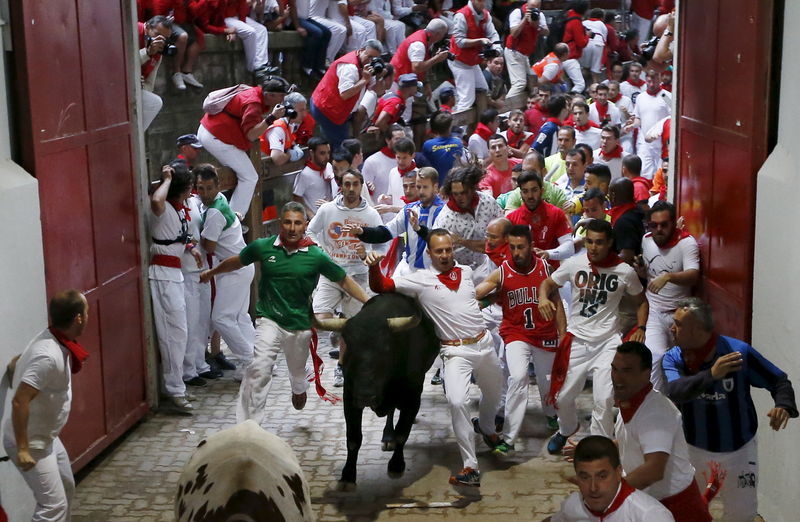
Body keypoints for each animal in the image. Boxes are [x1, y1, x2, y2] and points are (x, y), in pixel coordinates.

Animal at [316, 292, 438, 484]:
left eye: (385, 349)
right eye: (349, 349)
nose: (366, 396)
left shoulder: (413, 396)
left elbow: (402, 433)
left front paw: (396, 464)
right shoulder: (349, 396)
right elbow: (353, 438)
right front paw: (348, 473)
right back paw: (387, 436)